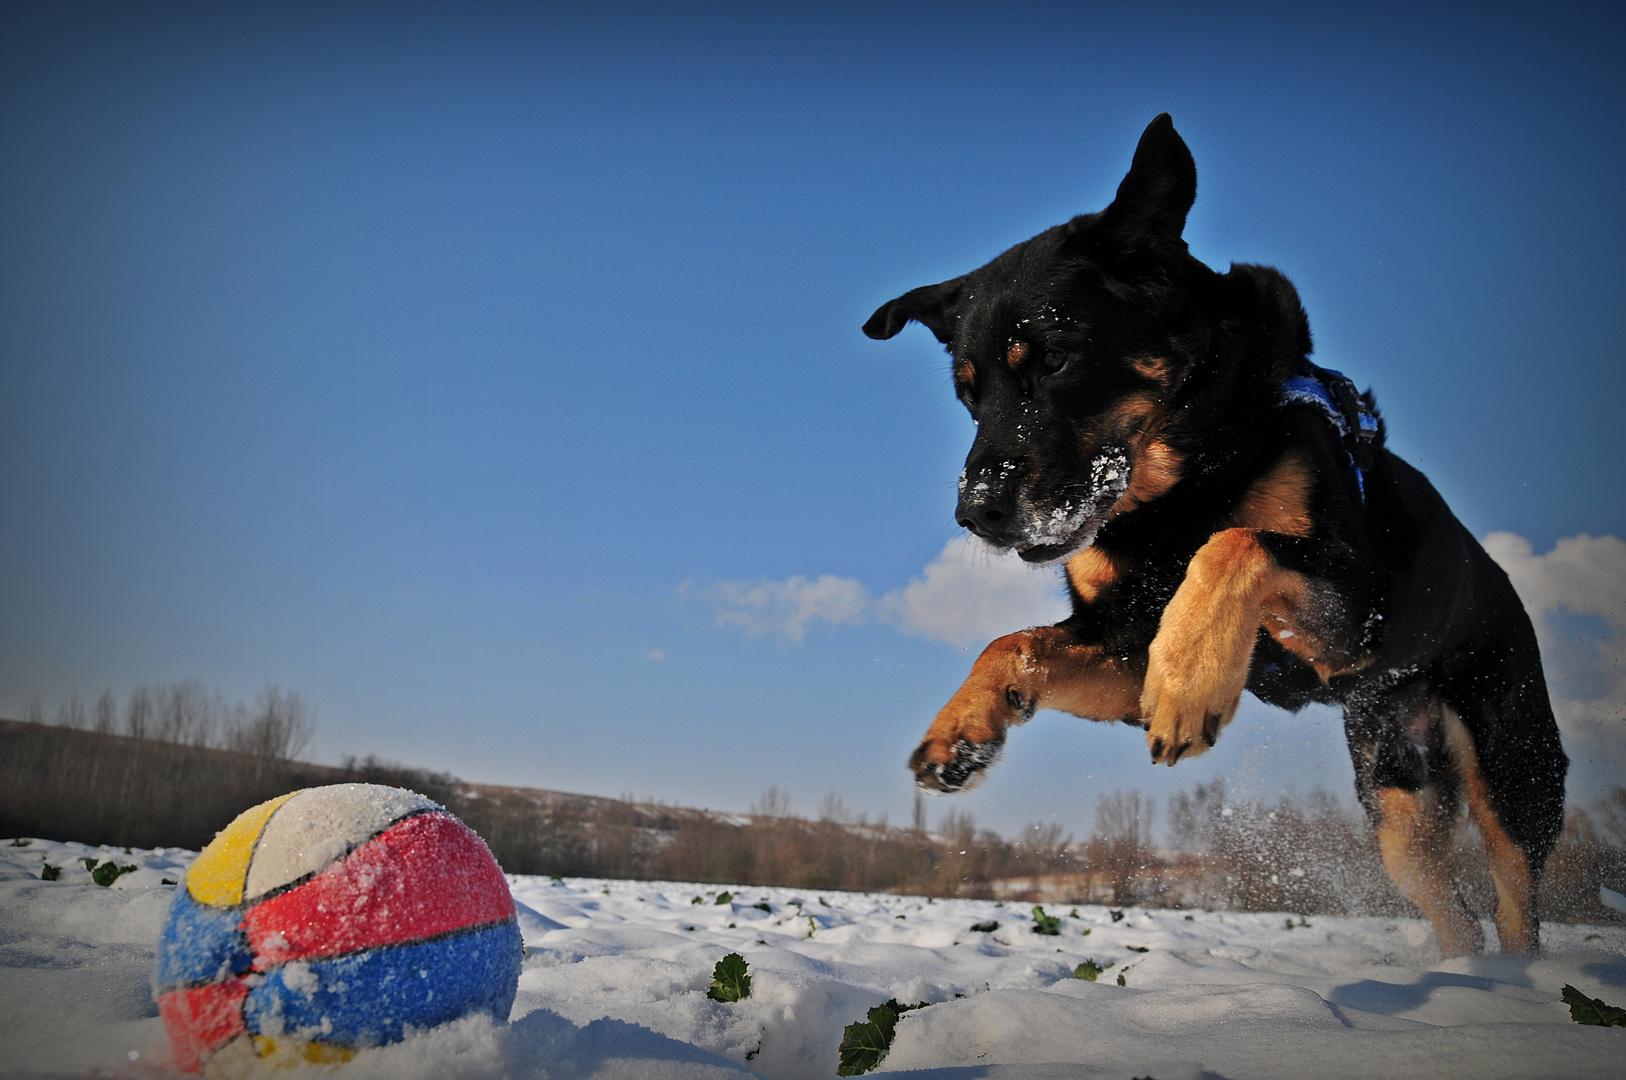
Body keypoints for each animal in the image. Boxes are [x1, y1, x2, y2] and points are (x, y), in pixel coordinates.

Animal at [865, 113, 1560, 956]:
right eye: (970, 394)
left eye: (1056, 358)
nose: (976, 513)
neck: (1174, 491)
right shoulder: (1124, 642)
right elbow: (1014, 643)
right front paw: (961, 731)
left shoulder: (1358, 608)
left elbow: (1234, 544)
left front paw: (1191, 683)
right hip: (1399, 806)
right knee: (1456, 917)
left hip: (1511, 776)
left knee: (1517, 909)